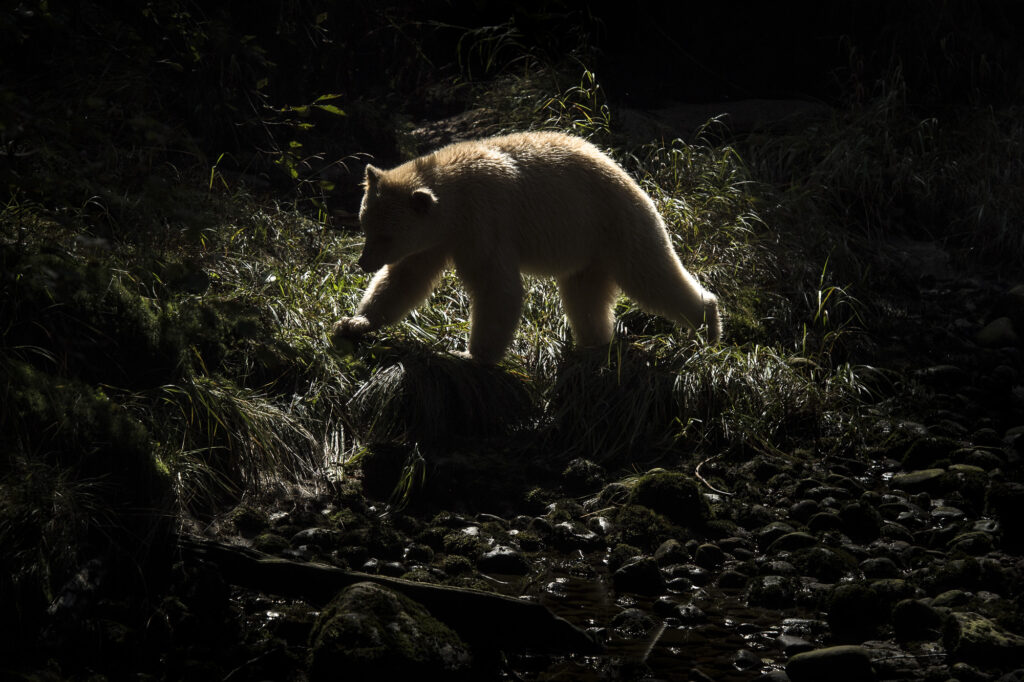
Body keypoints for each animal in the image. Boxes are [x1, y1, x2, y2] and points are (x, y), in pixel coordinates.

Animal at [334, 131, 721, 364]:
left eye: (385, 236)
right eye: (366, 226)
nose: (363, 262)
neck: (453, 200)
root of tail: (630, 177)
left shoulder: (483, 222)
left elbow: (497, 288)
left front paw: (470, 354)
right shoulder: (436, 240)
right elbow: (405, 279)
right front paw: (353, 322)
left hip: (615, 224)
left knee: (651, 276)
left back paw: (708, 323)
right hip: (587, 248)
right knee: (585, 297)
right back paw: (593, 344)